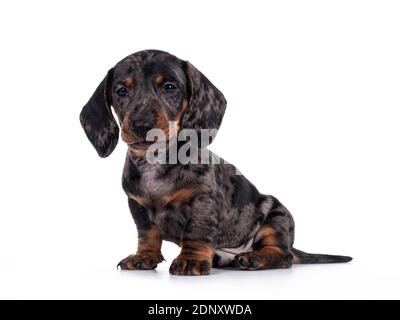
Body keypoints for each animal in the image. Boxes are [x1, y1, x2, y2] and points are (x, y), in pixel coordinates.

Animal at [79, 50, 352, 276]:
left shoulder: (203, 201)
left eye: (169, 87)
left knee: (282, 256)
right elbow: (147, 234)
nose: (141, 126)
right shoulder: (137, 205)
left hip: (276, 217)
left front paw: (190, 259)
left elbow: (195, 233)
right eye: (121, 90)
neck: (157, 160)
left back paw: (255, 258)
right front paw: (143, 256)